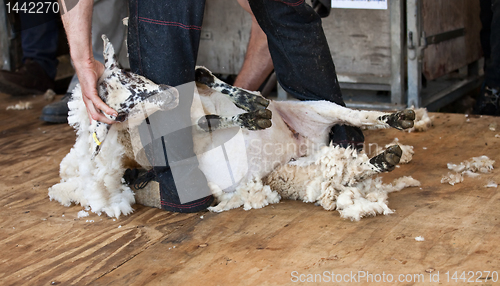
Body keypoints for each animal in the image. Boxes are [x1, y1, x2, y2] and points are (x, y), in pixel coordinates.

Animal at [49, 35, 418, 219]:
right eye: (119, 114)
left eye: (127, 74)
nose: (168, 96)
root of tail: (304, 144)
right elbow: (208, 121)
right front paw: (250, 115)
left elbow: (224, 93)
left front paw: (241, 98)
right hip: (296, 170)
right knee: (346, 170)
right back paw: (385, 156)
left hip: (316, 109)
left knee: (356, 116)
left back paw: (397, 119)